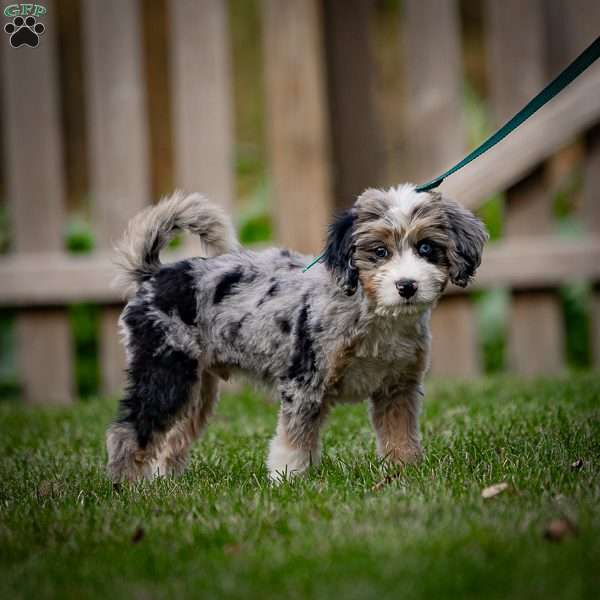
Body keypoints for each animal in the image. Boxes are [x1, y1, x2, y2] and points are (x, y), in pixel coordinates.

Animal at [106, 184, 488, 482]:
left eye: (426, 248)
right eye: (380, 252)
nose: (406, 286)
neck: (372, 314)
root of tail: (154, 274)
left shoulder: (397, 390)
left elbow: (400, 438)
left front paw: (403, 474)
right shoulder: (305, 383)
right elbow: (293, 442)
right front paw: (287, 480)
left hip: (194, 389)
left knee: (170, 437)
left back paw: (163, 483)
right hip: (164, 373)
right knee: (128, 431)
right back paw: (128, 488)